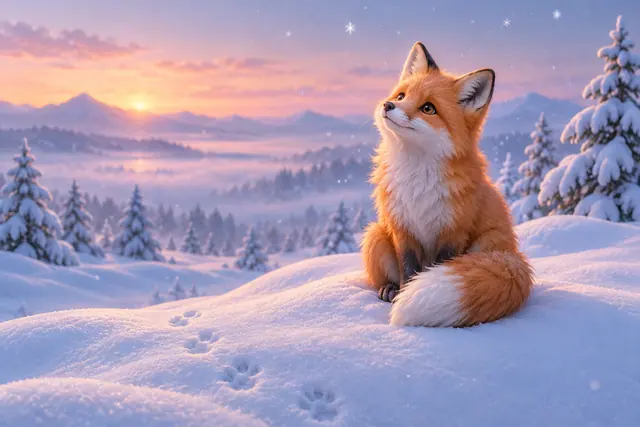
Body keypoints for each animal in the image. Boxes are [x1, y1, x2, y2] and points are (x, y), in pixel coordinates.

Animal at [362, 42, 533, 327]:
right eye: (401, 96)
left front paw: (410, 297)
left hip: (484, 244)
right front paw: (403, 293)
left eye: (428, 108)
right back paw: (389, 289)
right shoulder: (403, 228)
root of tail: (514, 255)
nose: (388, 105)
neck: (417, 180)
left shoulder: (453, 232)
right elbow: (408, 271)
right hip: (375, 234)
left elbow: (437, 267)